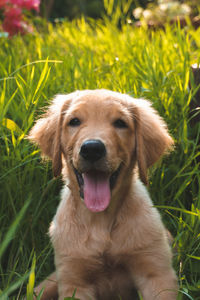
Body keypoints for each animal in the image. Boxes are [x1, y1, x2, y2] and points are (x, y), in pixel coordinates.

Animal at [28, 89, 177, 300]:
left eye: (120, 123)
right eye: (74, 121)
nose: (92, 149)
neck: (101, 220)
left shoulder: (156, 274)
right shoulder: (74, 280)